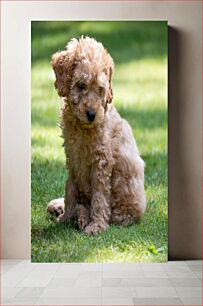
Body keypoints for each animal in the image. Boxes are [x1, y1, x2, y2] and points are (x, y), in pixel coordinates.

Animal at [47, 35, 146, 234]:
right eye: (81, 85)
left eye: (100, 89)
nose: (92, 114)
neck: (81, 126)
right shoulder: (73, 159)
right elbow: (70, 190)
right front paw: (65, 218)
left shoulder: (102, 162)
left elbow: (100, 197)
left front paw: (96, 226)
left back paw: (83, 217)